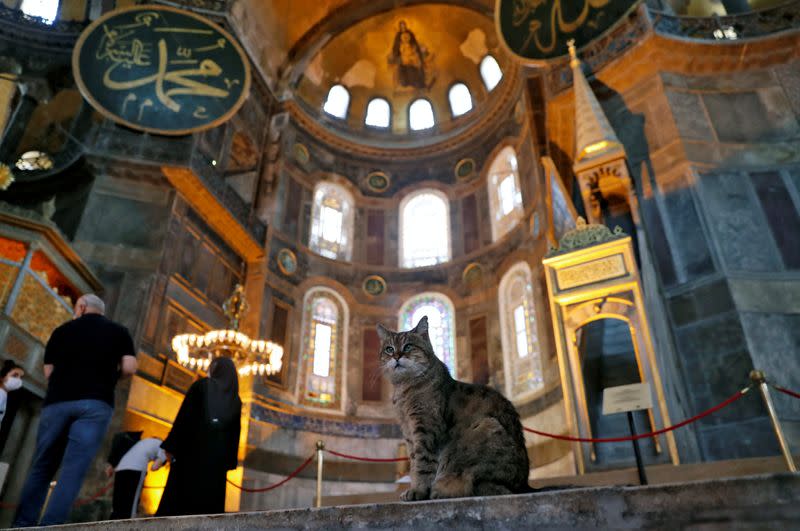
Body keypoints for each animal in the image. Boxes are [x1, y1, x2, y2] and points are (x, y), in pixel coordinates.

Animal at [376, 314, 528, 500]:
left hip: (486, 426)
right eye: (389, 349)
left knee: (489, 488)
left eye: (408, 346)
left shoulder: (425, 428)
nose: (396, 356)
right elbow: (413, 462)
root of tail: (525, 485)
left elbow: (422, 464)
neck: (404, 388)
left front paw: (418, 491)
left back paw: (441, 490)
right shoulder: (408, 432)